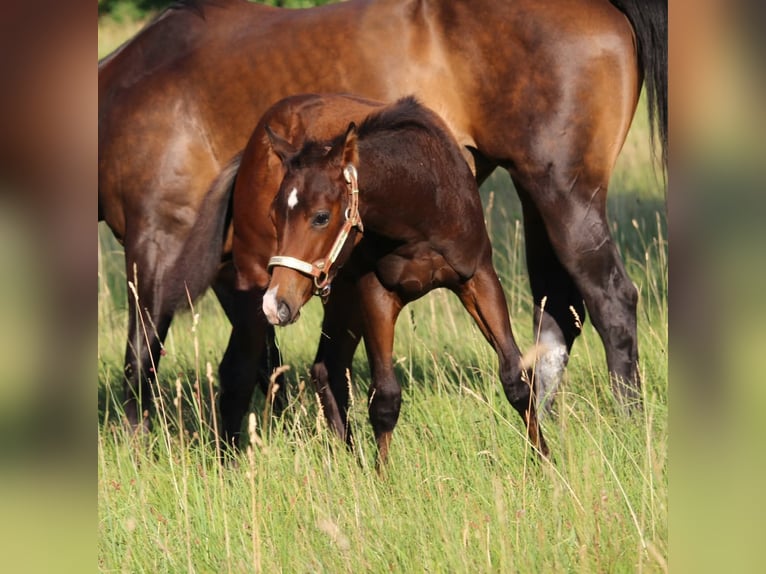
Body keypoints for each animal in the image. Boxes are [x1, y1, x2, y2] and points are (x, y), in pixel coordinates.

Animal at [260, 96, 548, 464]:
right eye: (274, 216)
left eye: (321, 217)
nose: (275, 304)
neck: (422, 197)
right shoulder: (375, 293)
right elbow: (384, 397)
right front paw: (381, 475)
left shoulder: (479, 278)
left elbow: (516, 377)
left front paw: (545, 464)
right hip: (343, 295)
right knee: (328, 369)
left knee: (328, 367)